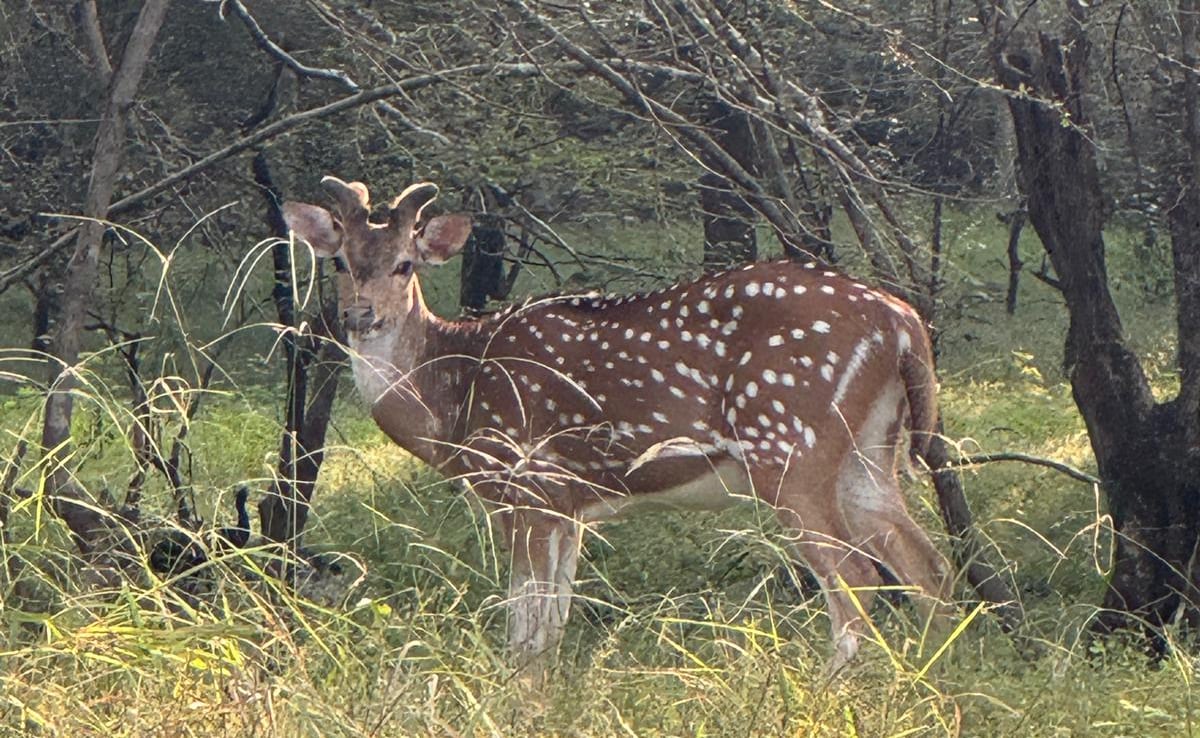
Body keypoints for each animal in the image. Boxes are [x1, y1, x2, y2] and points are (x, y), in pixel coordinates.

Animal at [281, 176, 954, 676]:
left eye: (404, 265)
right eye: (338, 262)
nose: (359, 314)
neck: (453, 402)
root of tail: (902, 321)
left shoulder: (527, 485)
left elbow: (524, 628)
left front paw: (520, 696)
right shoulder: (568, 504)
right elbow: (551, 625)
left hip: (790, 443)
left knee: (858, 579)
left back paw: (830, 687)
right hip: (868, 452)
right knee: (928, 567)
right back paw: (933, 677)